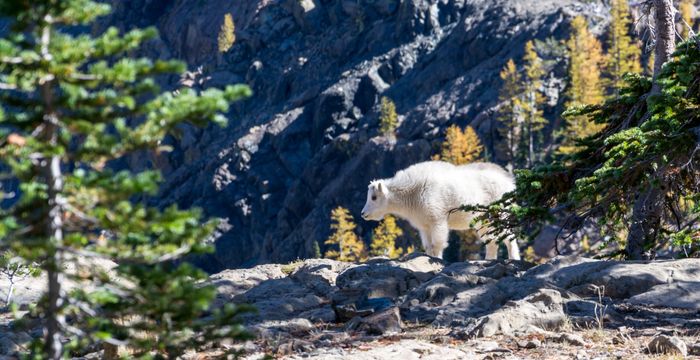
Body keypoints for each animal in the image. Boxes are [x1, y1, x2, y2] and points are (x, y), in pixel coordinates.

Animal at [360, 162, 520, 260]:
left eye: (374, 197)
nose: (363, 213)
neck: (412, 192)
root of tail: (510, 181)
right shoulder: (424, 225)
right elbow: (427, 246)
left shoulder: (437, 218)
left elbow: (437, 243)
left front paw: (437, 259)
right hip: (483, 219)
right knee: (491, 239)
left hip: (500, 212)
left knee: (509, 236)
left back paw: (514, 258)